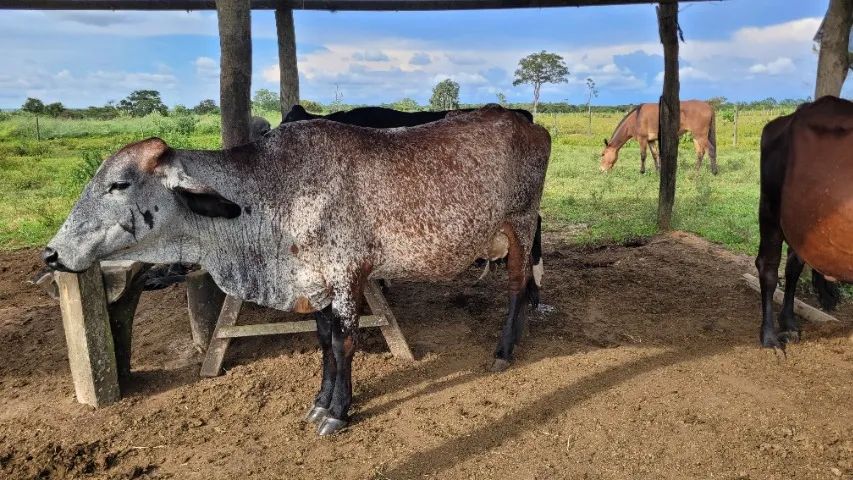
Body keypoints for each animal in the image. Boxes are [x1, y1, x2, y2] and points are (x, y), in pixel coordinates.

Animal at [42, 105, 551, 436]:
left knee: (517, 285)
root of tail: (528, 122)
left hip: (521, 224)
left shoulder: (347, 276)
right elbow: (323, 341)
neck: (272, 195)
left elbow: (344, 343)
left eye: (119, 184)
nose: (51, 254)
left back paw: (505, 349)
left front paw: (339, 412)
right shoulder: (315, 281)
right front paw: (320, 402)